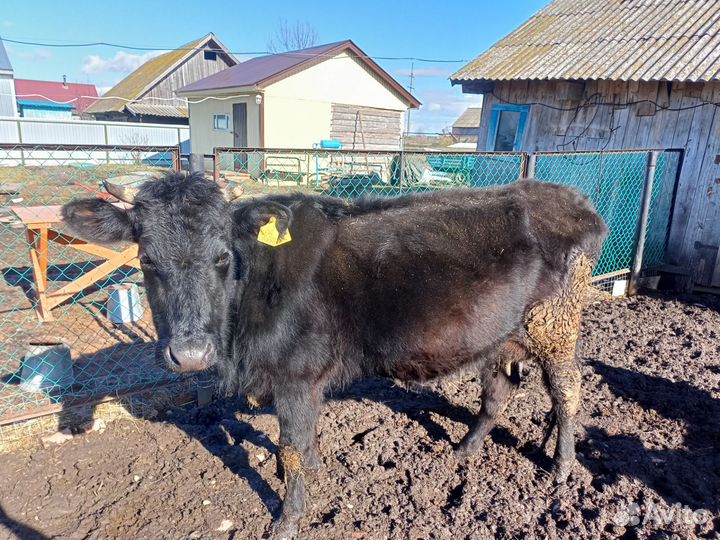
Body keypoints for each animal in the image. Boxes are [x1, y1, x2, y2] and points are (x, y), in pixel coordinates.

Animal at [62, 172, 607, 539]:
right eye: (146, 259)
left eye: (222, 257)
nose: (191, 353)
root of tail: (572, 199)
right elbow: (302, 445)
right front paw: (316, 472)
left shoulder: (295, 376)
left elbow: (290, 447)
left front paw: (288, 519)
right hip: (502, 336)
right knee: (500, 390)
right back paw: (465, 450)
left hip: (556, 326)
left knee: (567, 392)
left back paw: (561, 467)